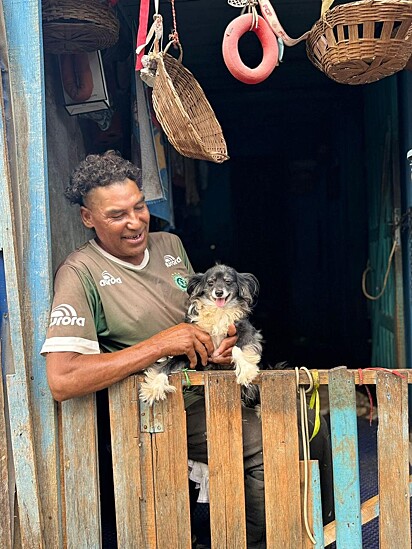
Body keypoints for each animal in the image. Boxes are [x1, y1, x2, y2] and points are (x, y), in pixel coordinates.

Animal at [139, 264, 264, 404]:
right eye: (210, 283)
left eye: (228, 281)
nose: (219, 292)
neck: (218, 311)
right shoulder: (189, 351)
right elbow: (166, 366)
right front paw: (154, 386)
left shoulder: (247, 330)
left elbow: (237, 348)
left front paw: (245, 370)